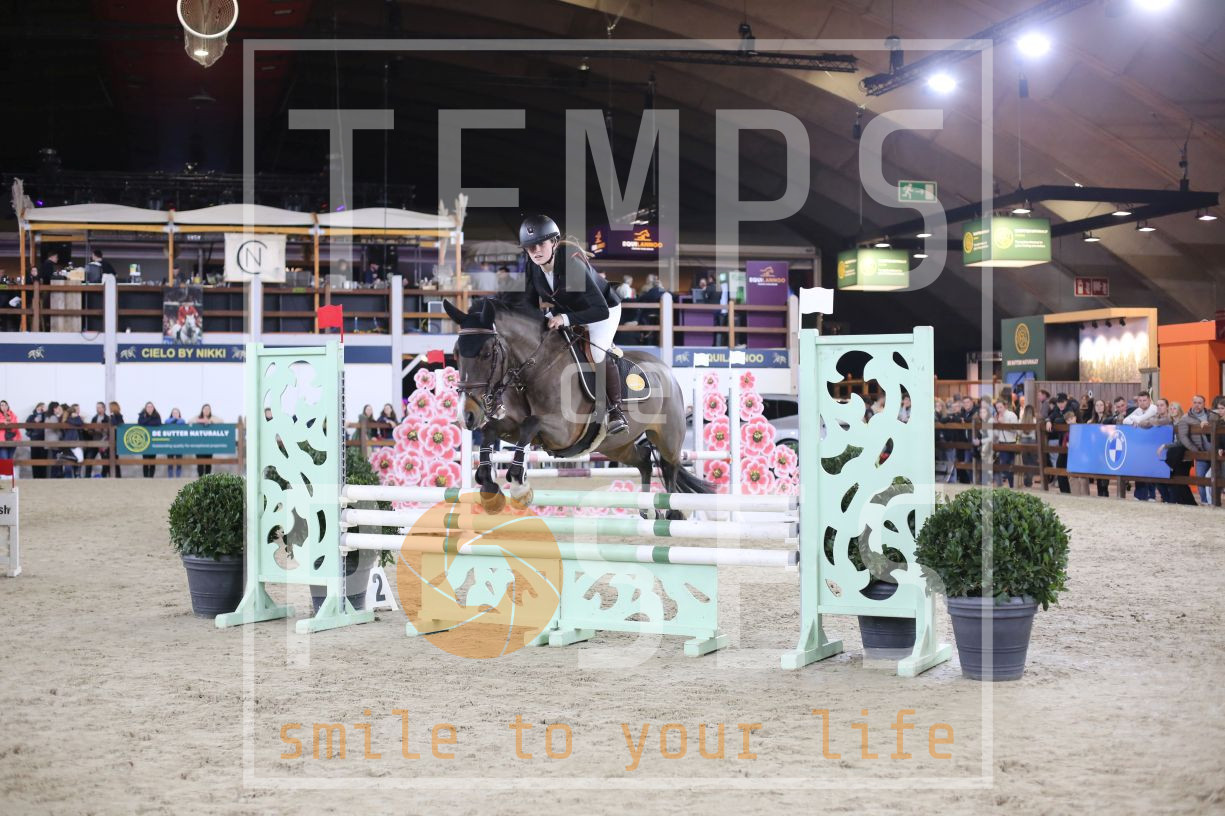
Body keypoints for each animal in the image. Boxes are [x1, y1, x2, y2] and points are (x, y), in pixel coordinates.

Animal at [443, 296, 712, 516]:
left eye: (487, 353)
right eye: (455, 353)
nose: (467, 416)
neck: (538, 368)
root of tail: (665, 369)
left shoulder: (563, 432)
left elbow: (532, 423)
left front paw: (520, 485)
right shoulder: (512, 428)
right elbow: (491, 431)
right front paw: (488, 485)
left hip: (667, 437)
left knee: (670, 467)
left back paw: (673, 512)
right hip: (616, 446)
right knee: (645, 459)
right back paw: (647, 510)